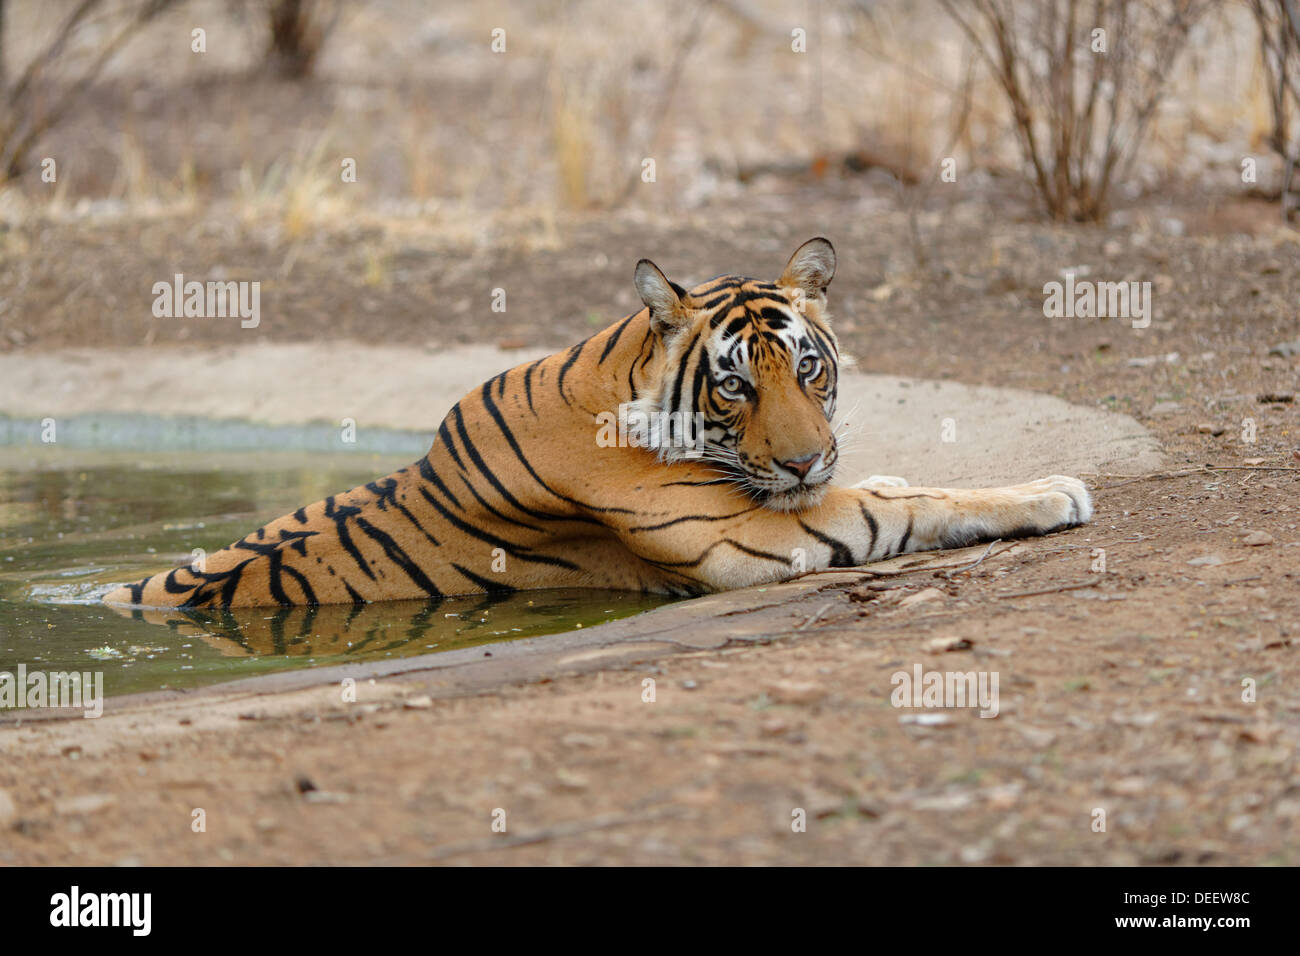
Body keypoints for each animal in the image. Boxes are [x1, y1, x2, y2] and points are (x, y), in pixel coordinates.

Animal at [104, 237, 1092, 610]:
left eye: (808, 369)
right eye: (736, 388)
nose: (806, 464)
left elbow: (895, 483)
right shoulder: (749, 538)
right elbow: (920, 503)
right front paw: (1056, 489)